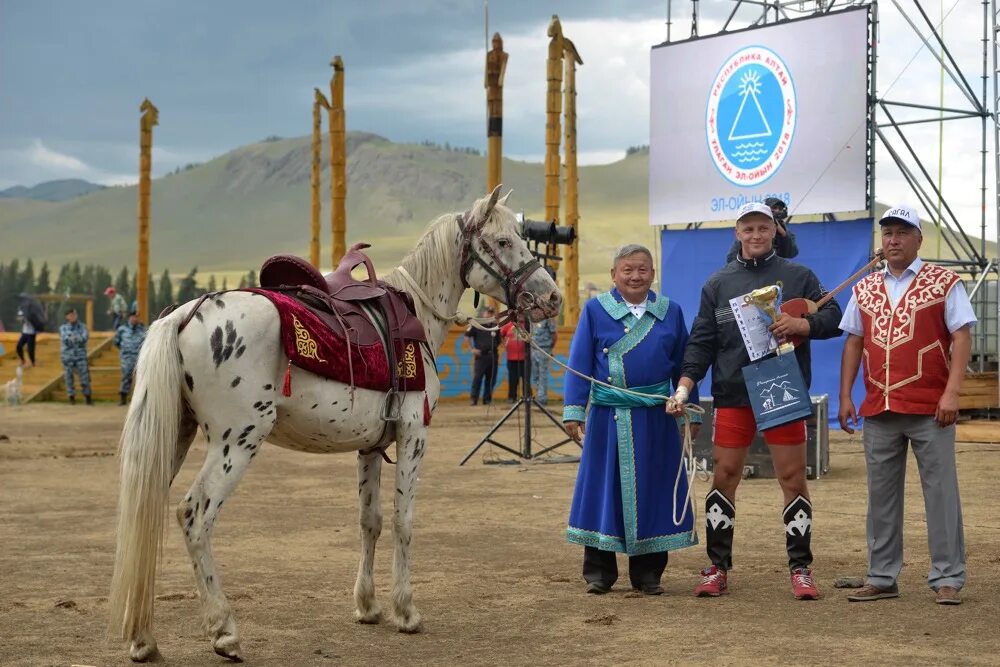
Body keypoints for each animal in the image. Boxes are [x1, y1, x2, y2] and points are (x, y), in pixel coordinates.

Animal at [111, 188, 564, 664]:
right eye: (502, 241)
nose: (552, 297)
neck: (418, 312)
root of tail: (182, 316)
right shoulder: (414, 435)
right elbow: (404, 520)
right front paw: (406, 611)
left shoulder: (371, 445)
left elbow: (371, 520)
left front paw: (367, 605)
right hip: (237, 442)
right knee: (194, 516)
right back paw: (224, 630)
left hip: (174, 437)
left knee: (144, 516)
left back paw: (142, 638)